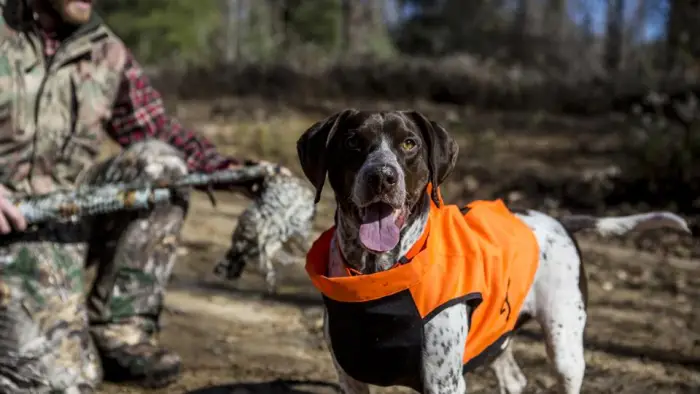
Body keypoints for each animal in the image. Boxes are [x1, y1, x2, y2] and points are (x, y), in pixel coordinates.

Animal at [294, 108, 688, 394]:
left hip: (565, 346)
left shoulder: (443, 383)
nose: (382, 177)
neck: (378, 274)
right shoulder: (350, 379)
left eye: (408, 144)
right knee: (514, 379)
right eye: (352, 141)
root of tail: (559, 220)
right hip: (498, 335)